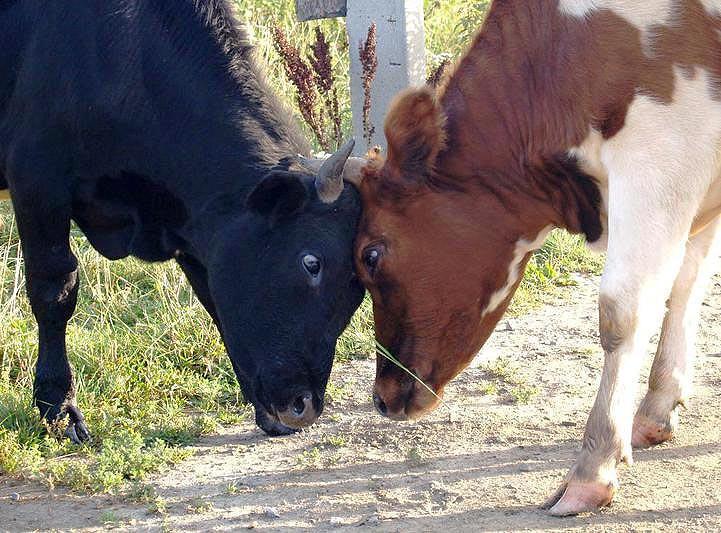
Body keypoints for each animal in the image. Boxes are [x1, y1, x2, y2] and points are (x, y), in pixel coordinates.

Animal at [0, 0, 362, 438]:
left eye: (359, 287)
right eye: (311, 262)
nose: (303, 406)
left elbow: (213, 299)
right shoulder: (37, 181)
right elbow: (55, 292)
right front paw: (58, 405)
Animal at [328, 0, 721, 516]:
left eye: (369, 255)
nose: (383, 397)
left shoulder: (661, 159)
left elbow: (622, 312)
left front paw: (592, 470)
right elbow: (686, 285)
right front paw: (657, 407)